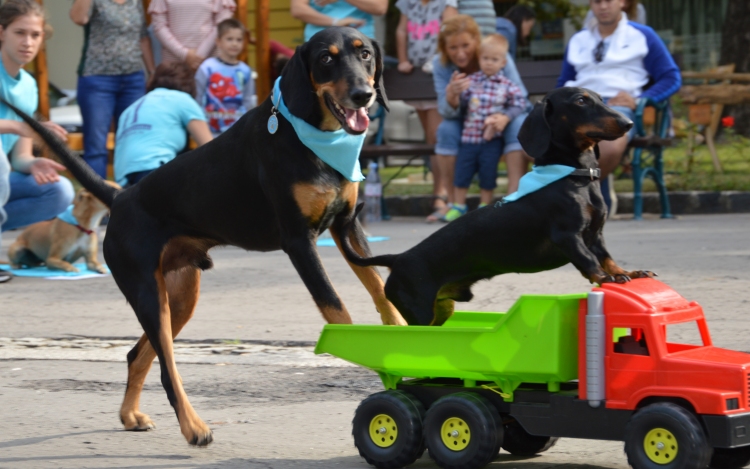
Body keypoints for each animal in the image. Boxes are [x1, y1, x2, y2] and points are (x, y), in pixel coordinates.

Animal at [4, 26, 406, 446]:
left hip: (179, 297)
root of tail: (121, 198)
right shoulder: (299, 242)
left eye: (364, 54)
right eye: (326, 58)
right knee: (167, 369)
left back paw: (130, 414)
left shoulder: (346, 226)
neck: (310, 137)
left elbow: (380, 290)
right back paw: (193, 426)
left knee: (137, 355)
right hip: (149, 296)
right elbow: (336, 308)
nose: (363, 94)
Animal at [342, 89, 656, 328]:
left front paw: (626, 272)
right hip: (419, 312)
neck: (575, 177)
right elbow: (590, 261)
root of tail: (398, 258)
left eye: (601, 98)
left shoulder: (596, 234)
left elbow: (606, 256)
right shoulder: (569, 236)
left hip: (441, 309)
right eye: (580, 100)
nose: (628, 123)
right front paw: (605, 278)